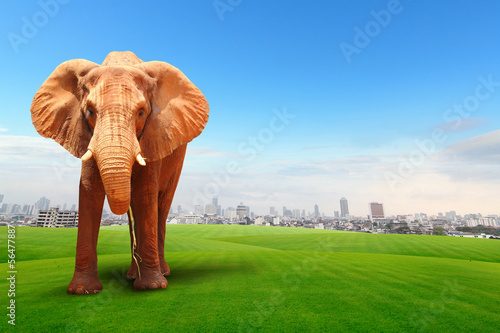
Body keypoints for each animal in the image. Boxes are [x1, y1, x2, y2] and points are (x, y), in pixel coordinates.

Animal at [29, 50, 209, 292]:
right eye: (90, 111)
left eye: (141, 112)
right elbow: (89, 192)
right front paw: (82, 290)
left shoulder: (154, 135)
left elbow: (144, 194)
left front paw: (152, 287)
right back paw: (133, 275)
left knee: (161, 205)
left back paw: (162, 273)